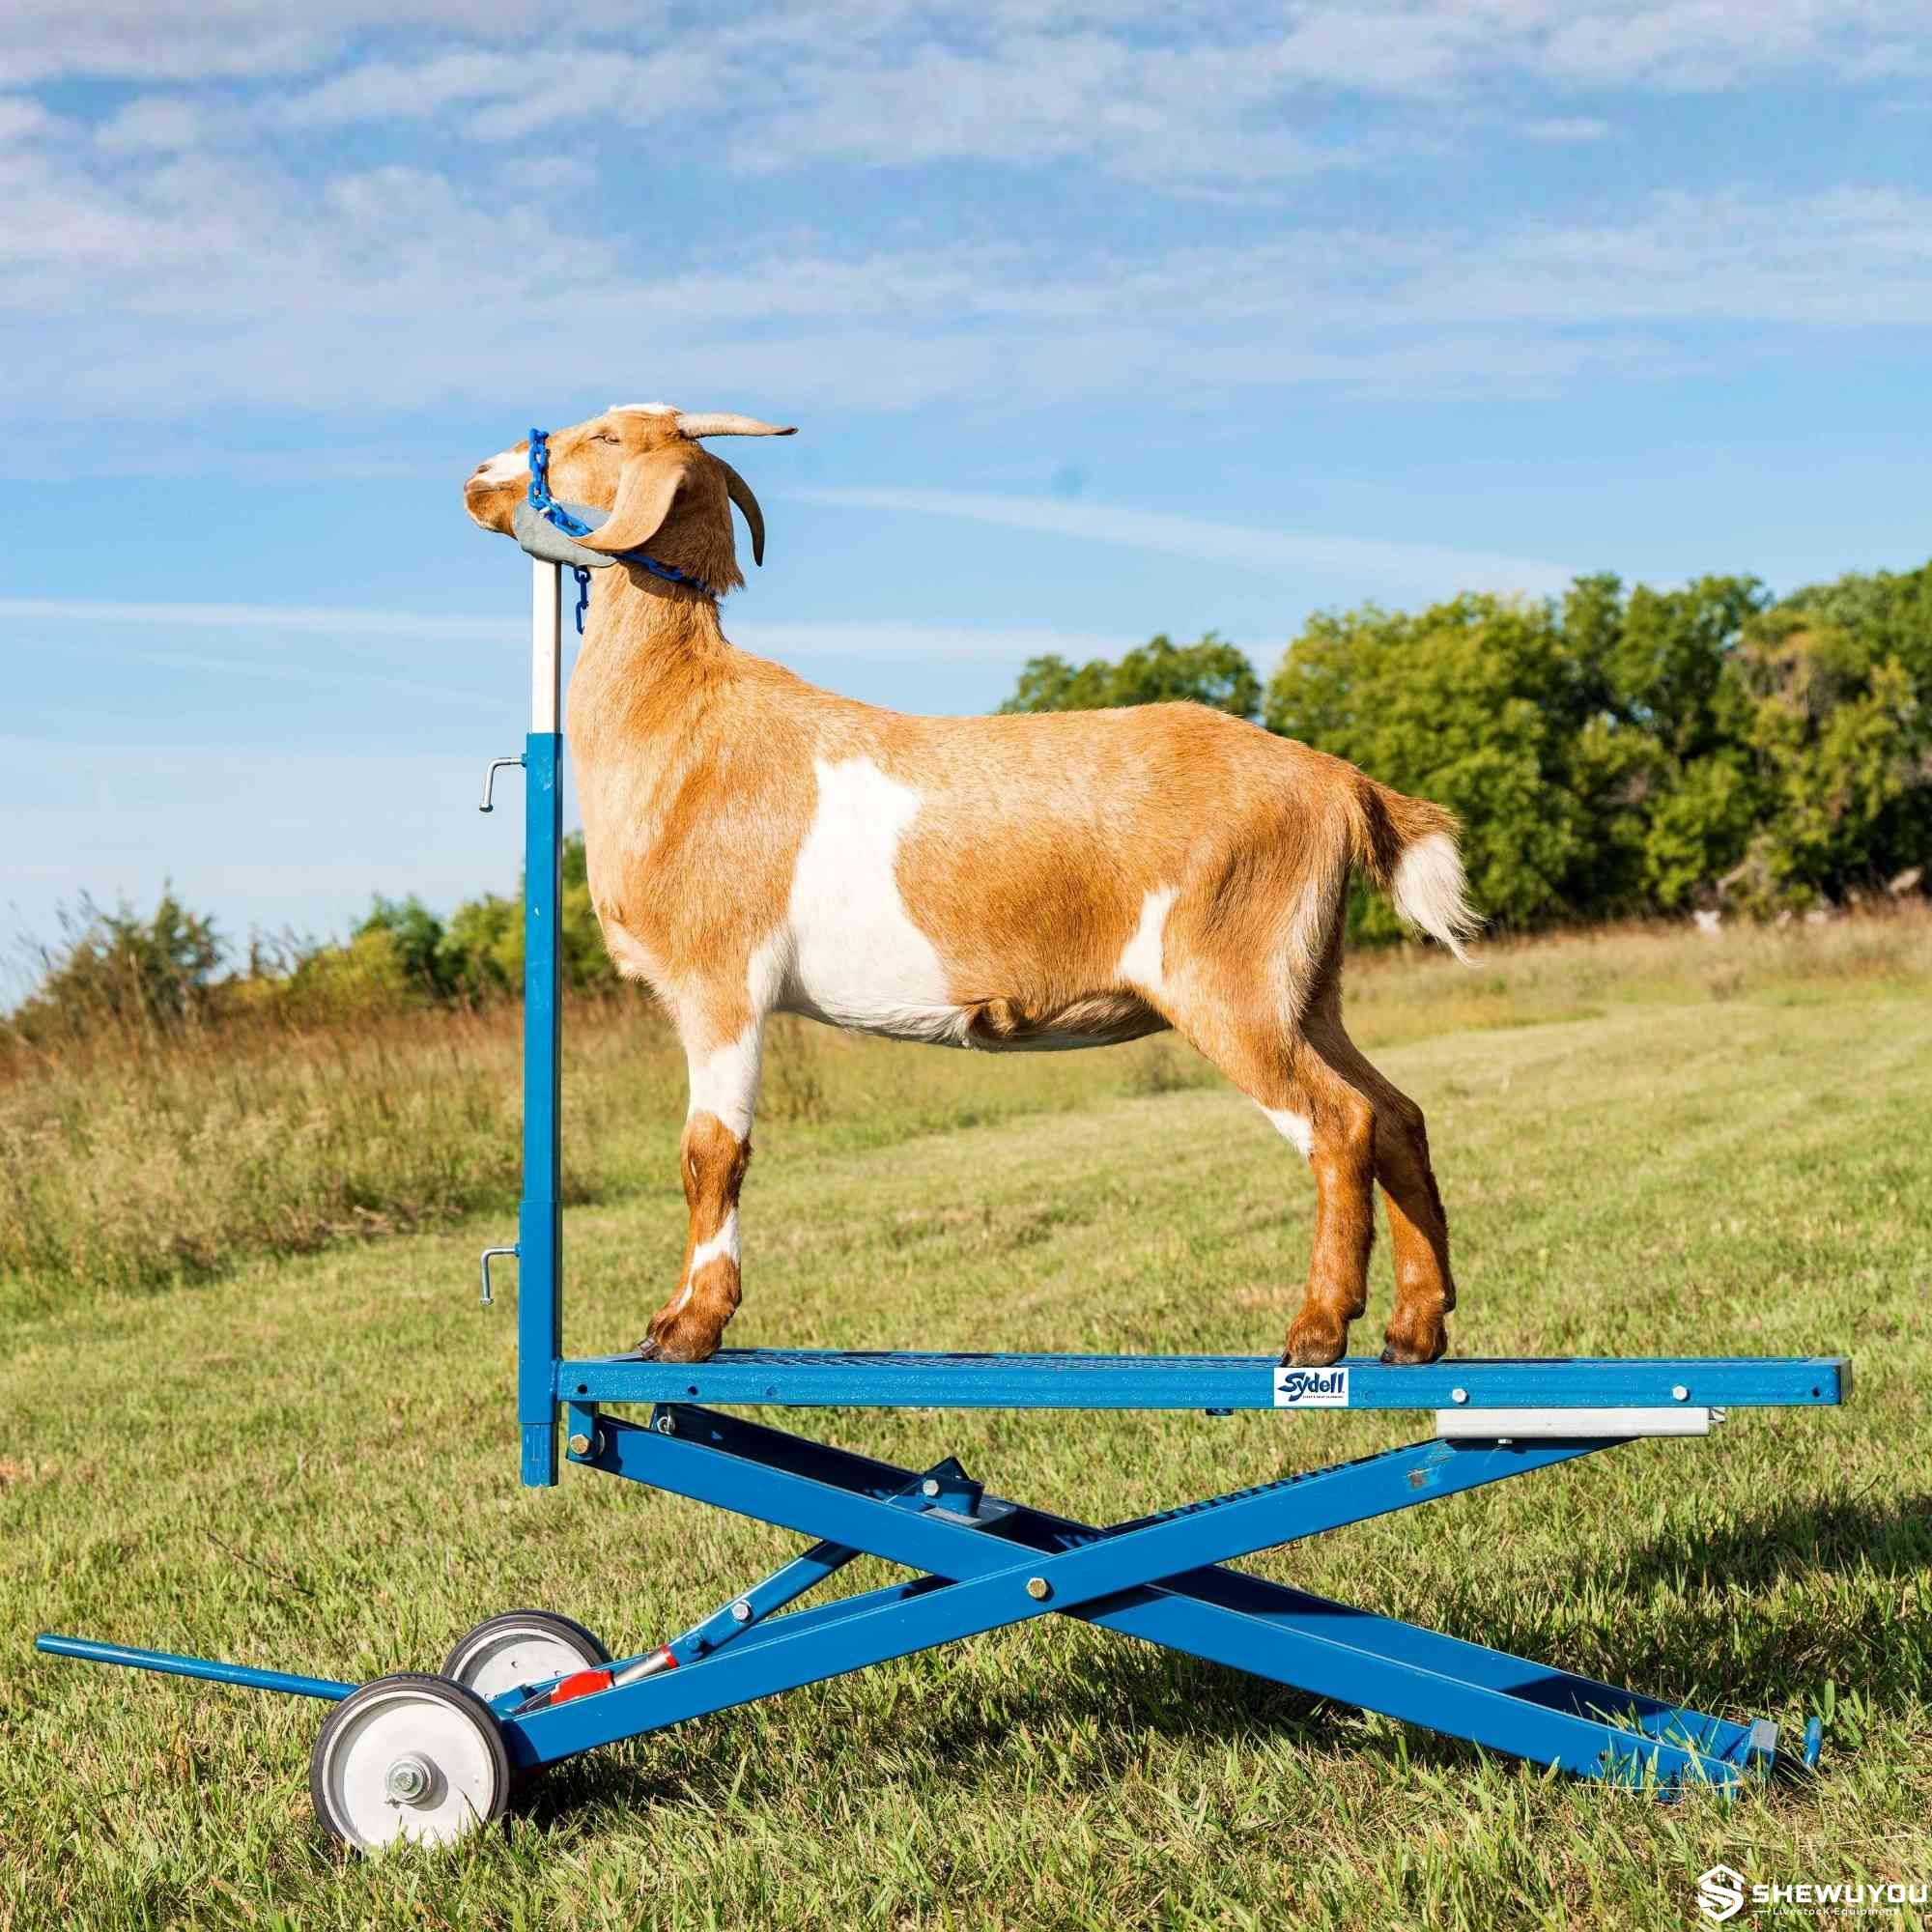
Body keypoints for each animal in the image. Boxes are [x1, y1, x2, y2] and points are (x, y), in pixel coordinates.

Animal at [464, 405, 1479, 1369]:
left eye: (605, 434)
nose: (480, 475)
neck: (686, 723)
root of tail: (1335, 781)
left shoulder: (723, 981)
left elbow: (712, 1153)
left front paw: (687, 1327)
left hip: (1230, 980)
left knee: (1340, 1122)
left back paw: (1319, 1329)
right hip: (1306, 985)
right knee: (1398, 1114)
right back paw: (1414, 1328)